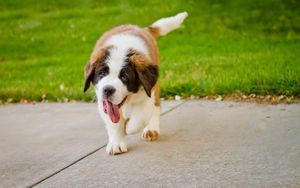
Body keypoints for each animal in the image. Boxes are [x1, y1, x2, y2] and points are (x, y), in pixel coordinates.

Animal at [84, 12, 188, 156]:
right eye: (102, 73)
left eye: (124, 77)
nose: (107, 90)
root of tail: (143, 29)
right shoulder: (102, 100)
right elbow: (113, 121)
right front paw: (116, 143)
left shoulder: (148, 91)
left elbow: (140, 118)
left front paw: (128, 125)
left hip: (154, 85)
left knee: (156, 105)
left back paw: (151, 128)